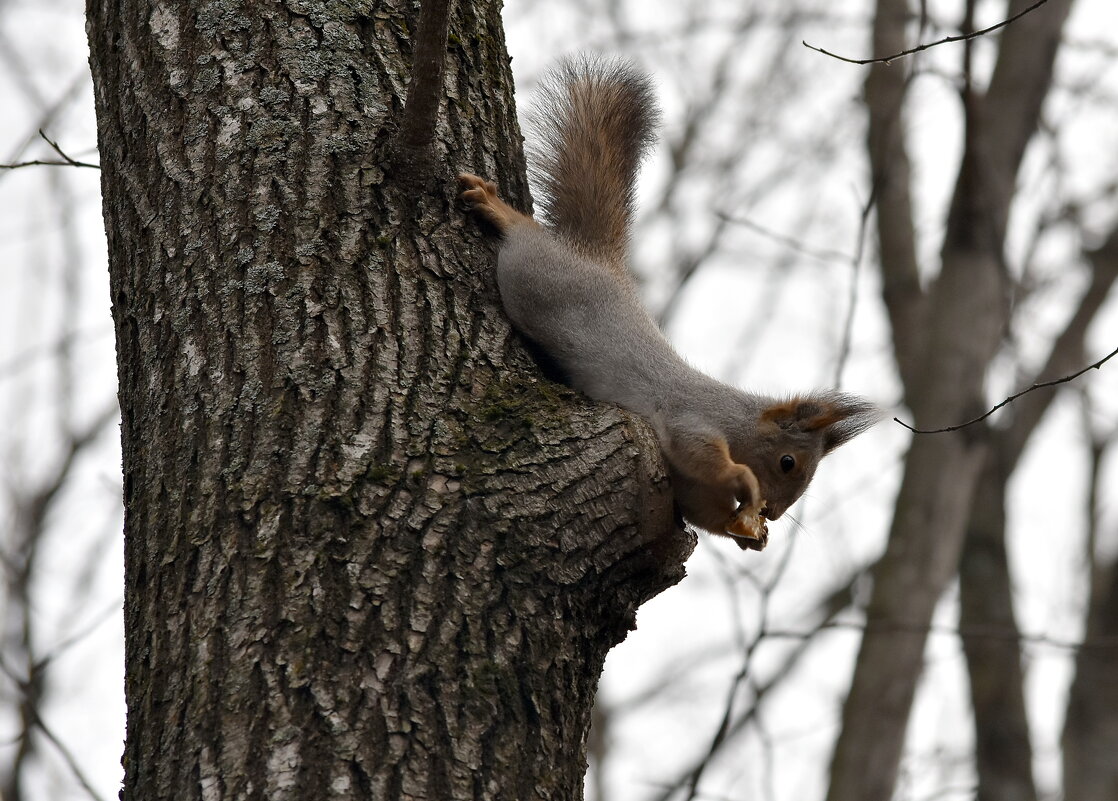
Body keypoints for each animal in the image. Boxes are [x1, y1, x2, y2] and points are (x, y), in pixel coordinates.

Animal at [458, 59, 876, 554]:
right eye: (788, 462)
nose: (773, 512)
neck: (739, 421)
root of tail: (594, 257)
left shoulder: (688, 484)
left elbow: (701, 507)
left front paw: (749, 534)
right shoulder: (691, 419)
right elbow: (702, 454)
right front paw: (743, 482)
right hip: (534, 277)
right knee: (525, 237)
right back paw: (497, 208)